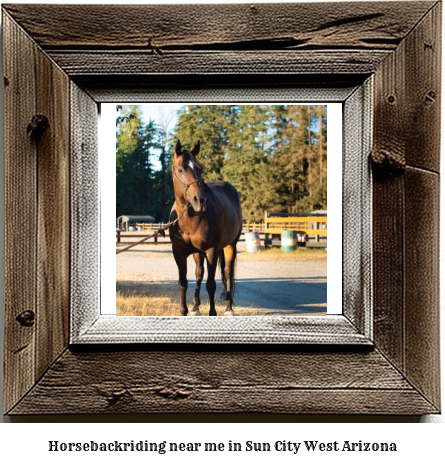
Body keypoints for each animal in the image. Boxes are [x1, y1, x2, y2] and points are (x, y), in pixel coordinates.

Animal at [168, 139, 241, 316]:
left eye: (200, 169)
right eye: (180, 169)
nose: (200, 200)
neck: (189, 218)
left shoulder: (211, 250)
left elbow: (211, 284)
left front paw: (212, 312)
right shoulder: (178, 252)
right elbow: (183, 282)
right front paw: (184, 310)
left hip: (231, 245)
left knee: (228, 273)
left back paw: (229, 308)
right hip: (198, 252)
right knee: (199, 273)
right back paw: (195, 306)